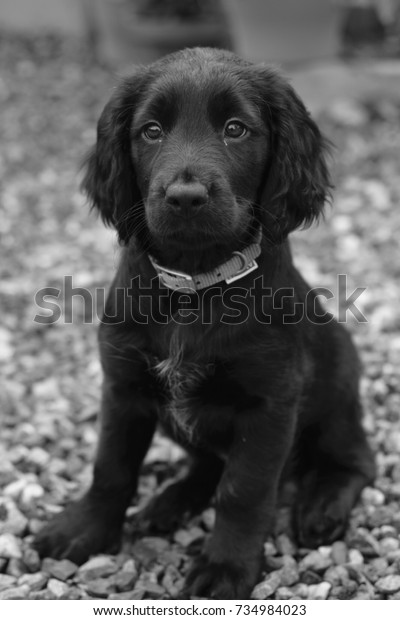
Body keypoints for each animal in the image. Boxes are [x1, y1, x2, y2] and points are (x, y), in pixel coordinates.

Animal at [35, 48, 376, 600]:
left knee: (354, 461)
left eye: (236, 129)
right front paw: (83, 529)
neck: (194, 286)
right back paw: (170, 502)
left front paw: (225, 567)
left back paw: (321, 509)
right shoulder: (122, 385)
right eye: (151, 131)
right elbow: (111, 467)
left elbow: (243, 490)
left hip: (338, 389)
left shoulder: (270, 403)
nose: (185, 196)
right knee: (206, 463)